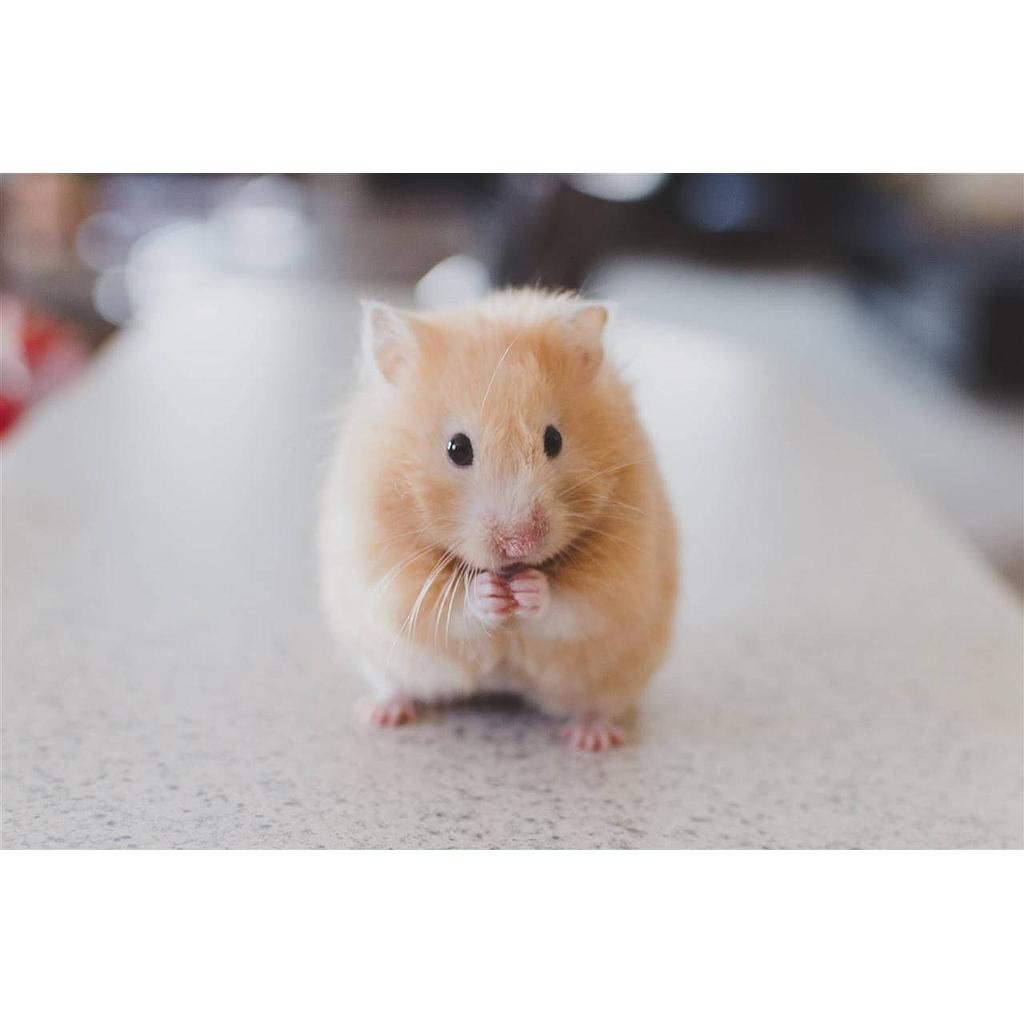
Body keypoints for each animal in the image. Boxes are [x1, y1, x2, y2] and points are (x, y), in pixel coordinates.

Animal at [318, 288, 678, 751]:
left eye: (554, 440)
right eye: (457, 448)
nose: (520, 545)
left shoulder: (620, 579)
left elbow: (573, 605)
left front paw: (528, 589)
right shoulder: (387, 574)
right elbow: (446, 607)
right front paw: (489, 593)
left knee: (599, 703)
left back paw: (592, 739)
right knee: (395, 685)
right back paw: (381, 713)